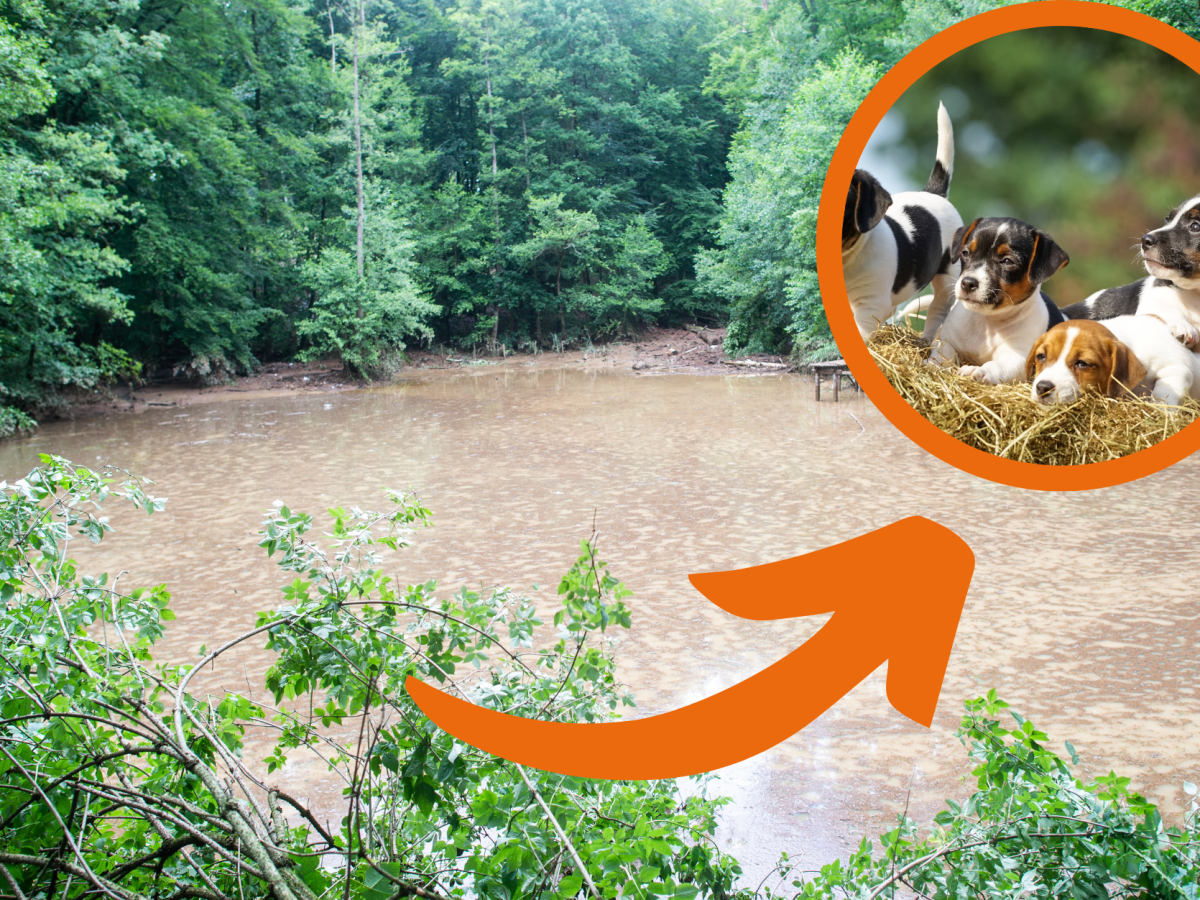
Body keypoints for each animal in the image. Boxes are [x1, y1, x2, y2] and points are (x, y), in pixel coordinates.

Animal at [931, 220, 1075, 388]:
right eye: (965, 253)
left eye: (1007, 261)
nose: (967, 283)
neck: (987, 322)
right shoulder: (946, 340)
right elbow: (942, 354)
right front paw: (932, 363)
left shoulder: (1018, 358)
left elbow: (996, 366)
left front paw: (978, 370)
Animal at [1060, 194, 1200, 348]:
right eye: (1167, 219)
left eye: (1195, 226)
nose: (1145, 240)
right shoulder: (1154, 299)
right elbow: (1166, 309)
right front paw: (1182, 326)